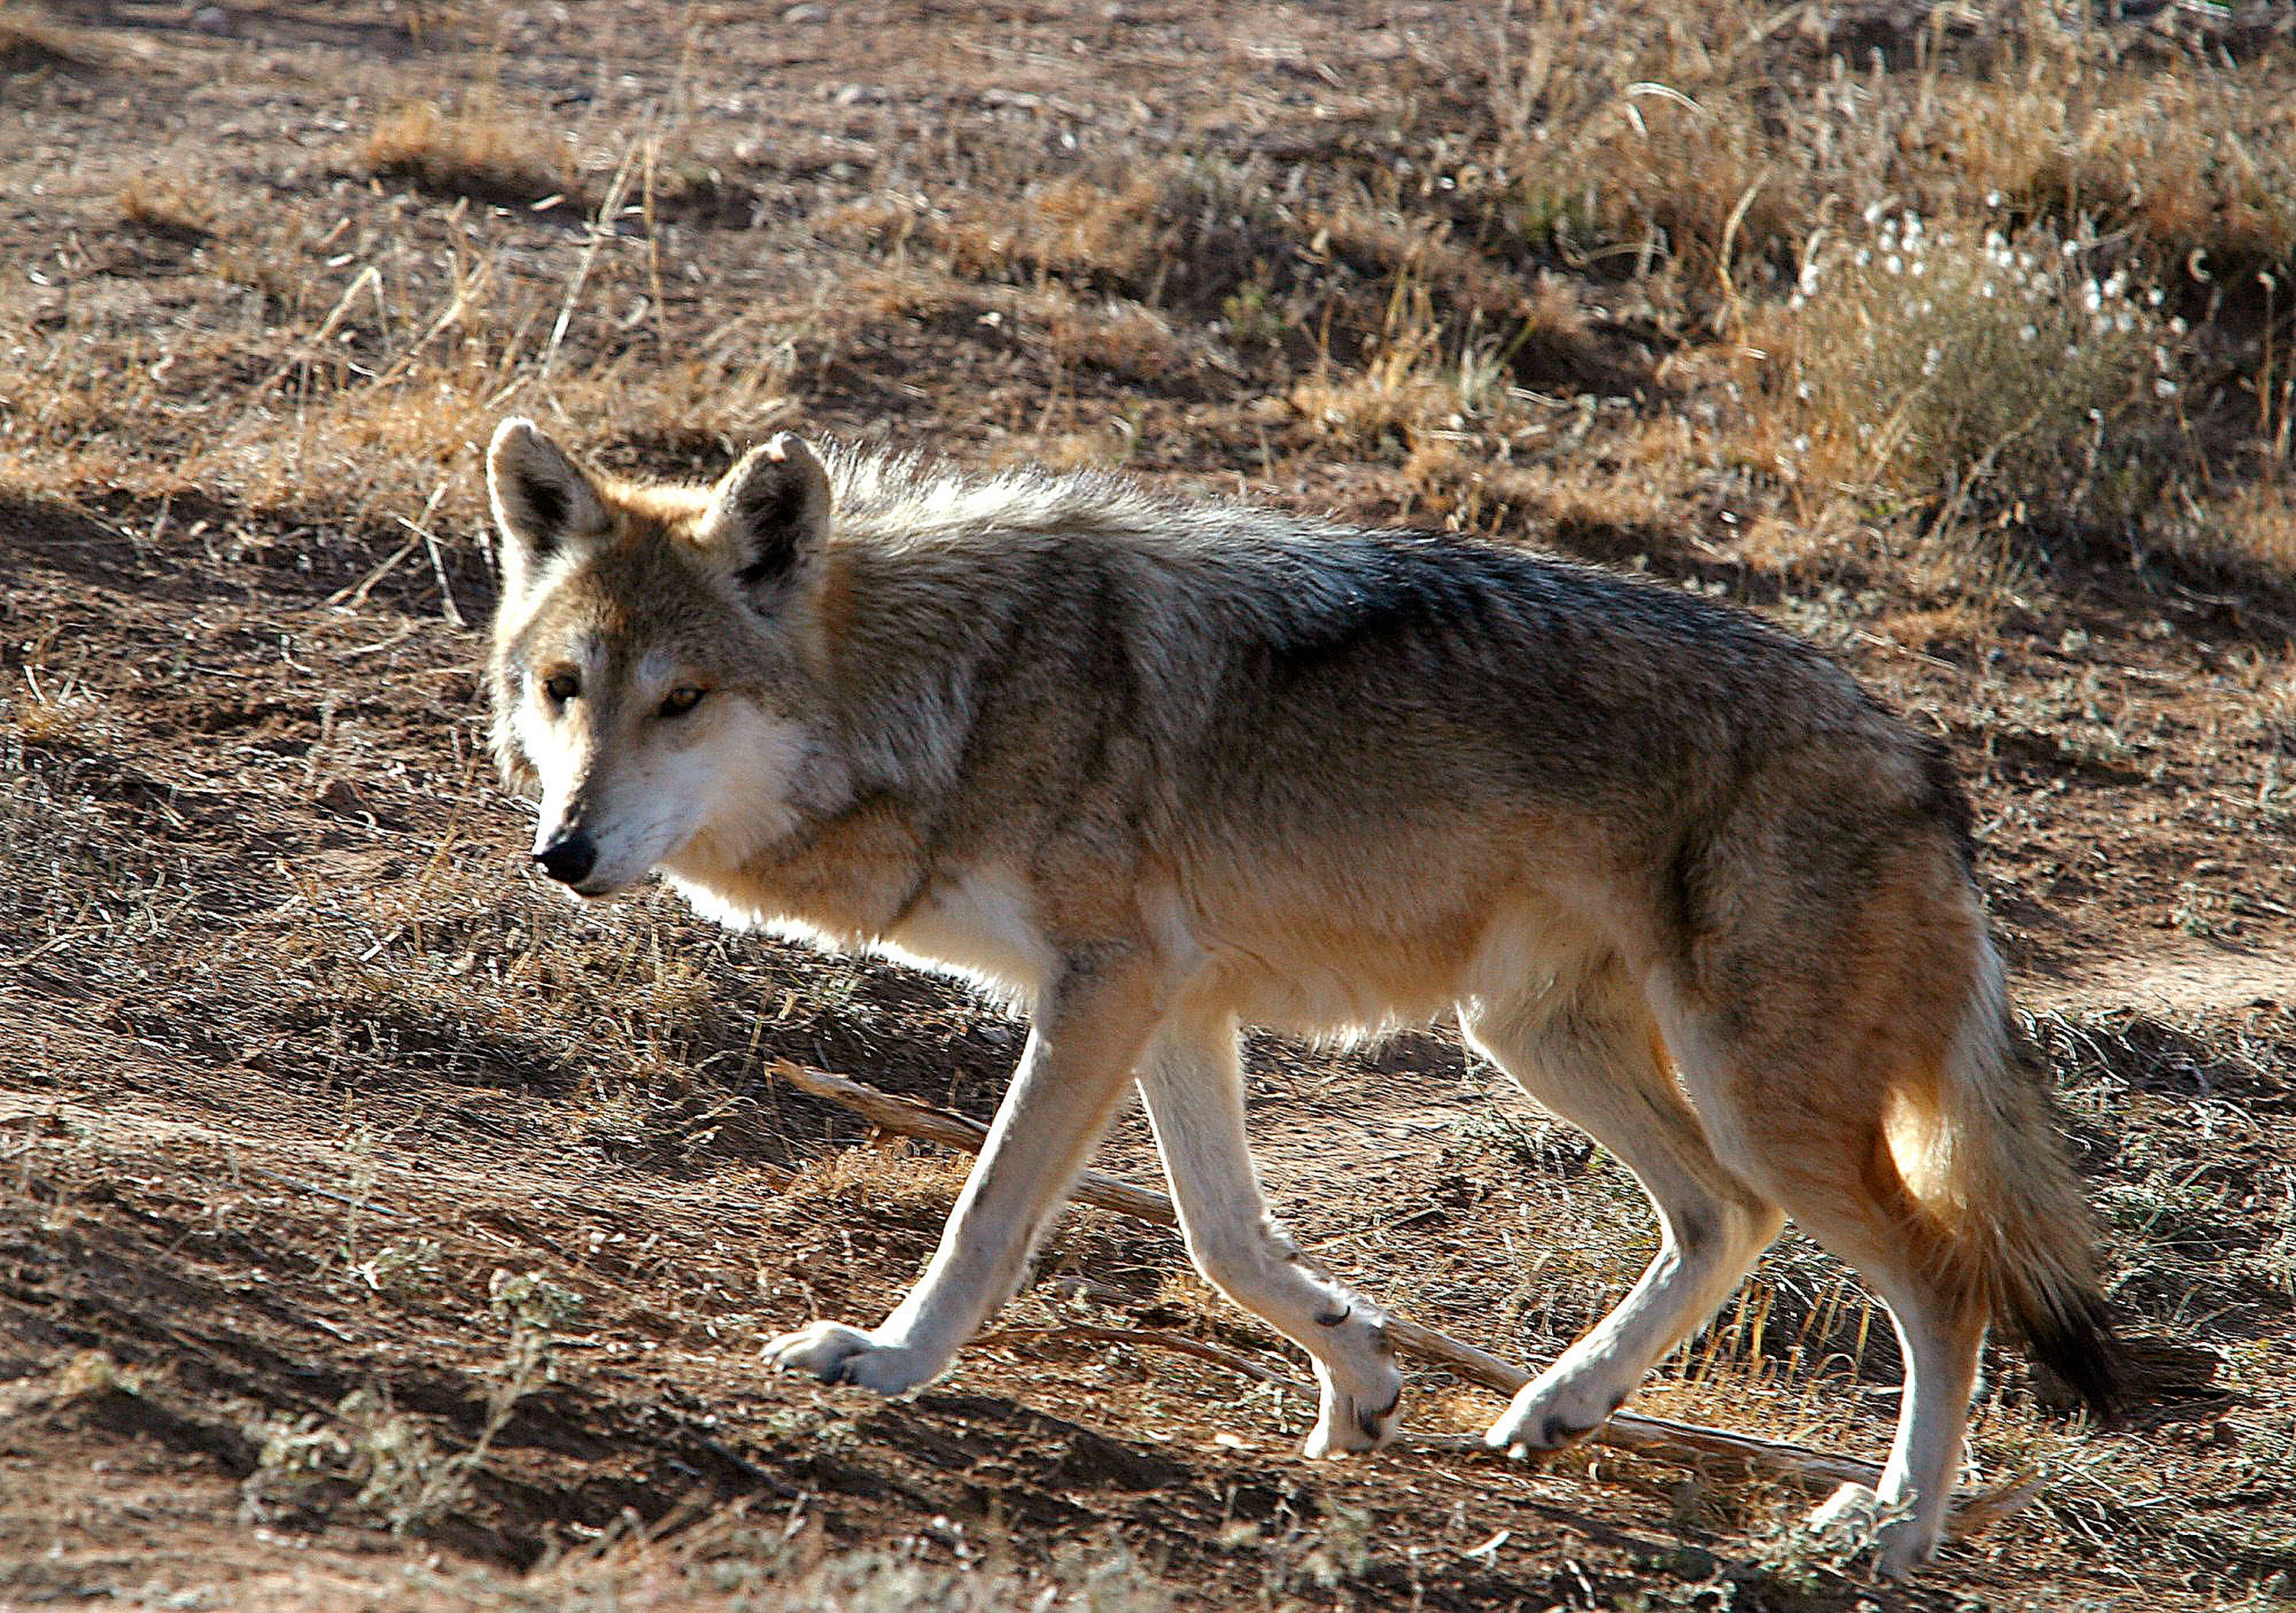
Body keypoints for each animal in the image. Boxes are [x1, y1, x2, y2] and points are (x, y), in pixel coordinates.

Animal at [479, 417, 2120, 1572]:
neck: (955, 693)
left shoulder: (1108, 986)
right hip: (1539, 1040)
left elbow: (988, 1216)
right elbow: (1226, 1242)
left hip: (1735, 1082)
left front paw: (885, 1361)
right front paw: (1360, 1377)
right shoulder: (1169, 1004)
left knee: (1946, 1278)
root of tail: (1925, 759)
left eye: (682, 699)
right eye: (565, 689)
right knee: (1727, 1215)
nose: (564, 850)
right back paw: (1560, 1405)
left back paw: (1890, 1526)